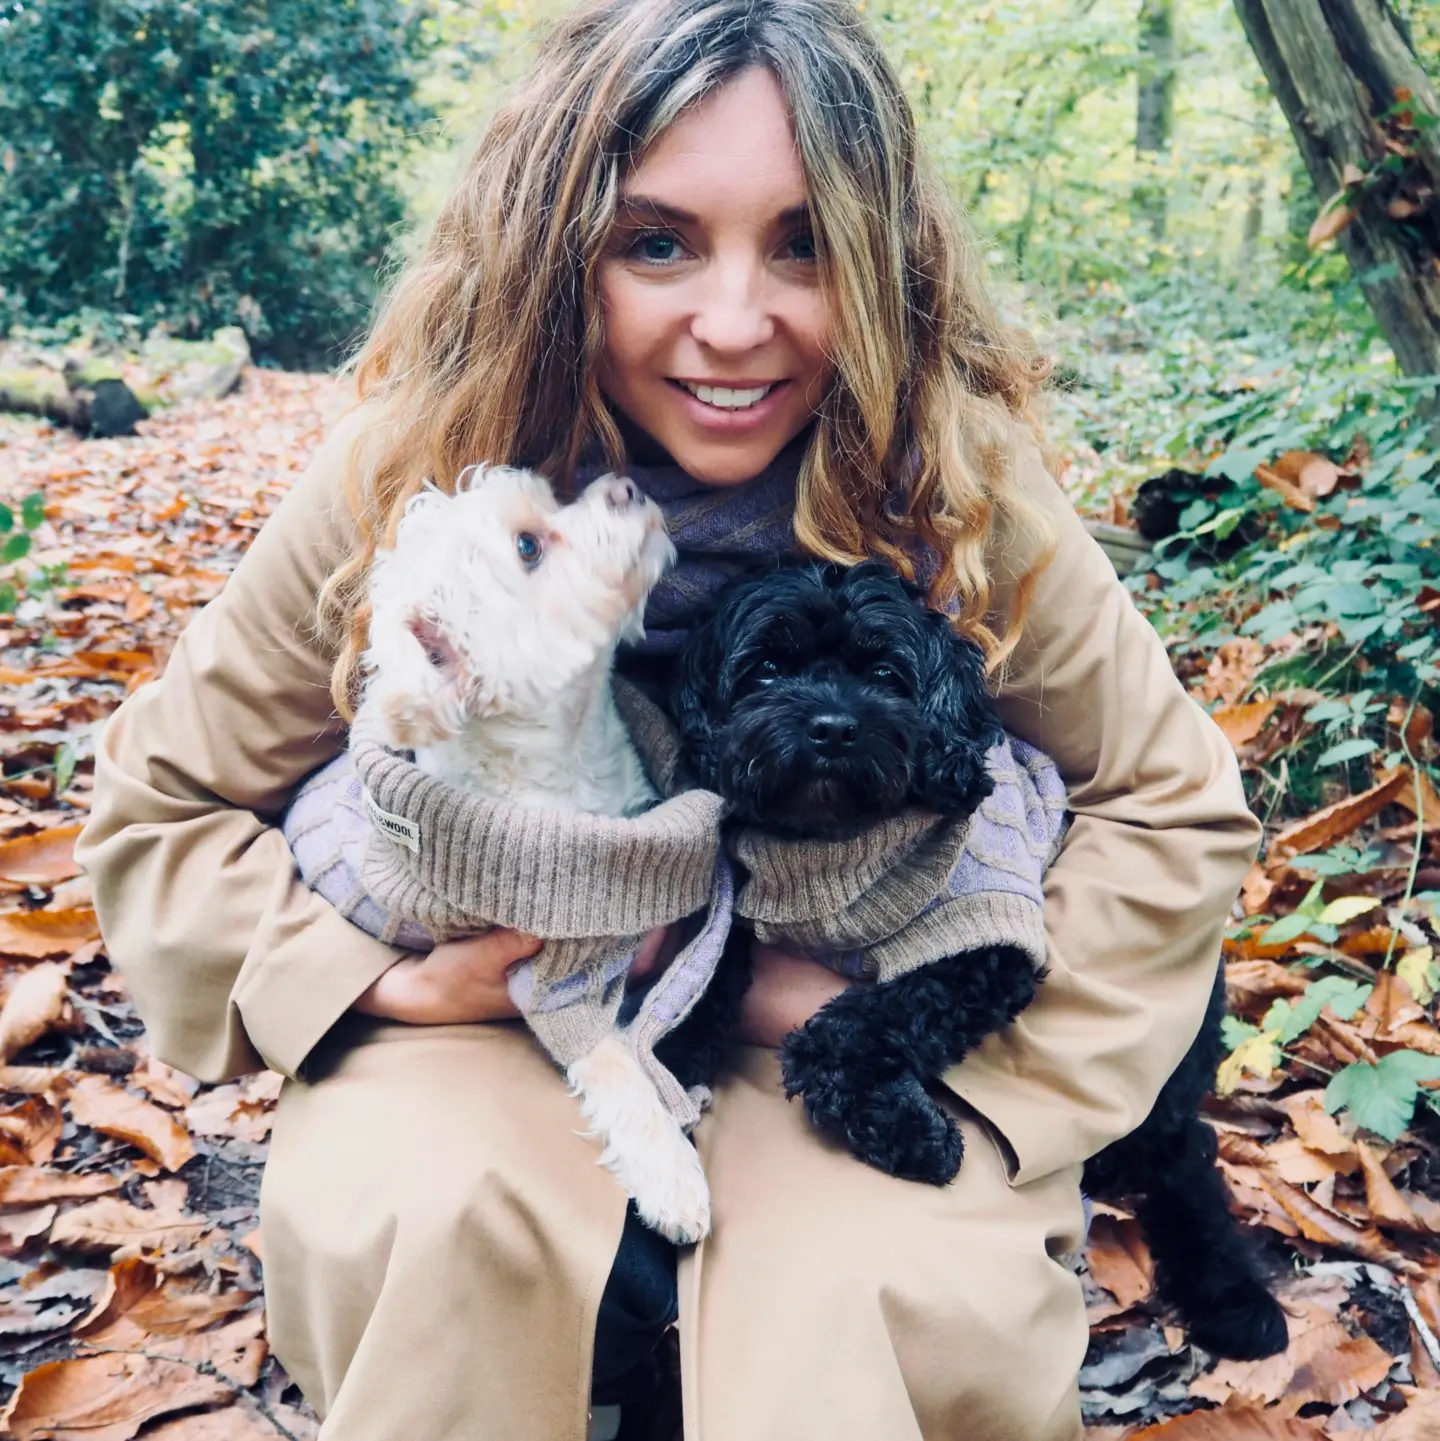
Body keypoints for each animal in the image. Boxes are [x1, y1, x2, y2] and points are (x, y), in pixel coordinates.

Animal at [351, 466, 712, 1245]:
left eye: (554, 496)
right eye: (528, 546)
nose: (624, 484)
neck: (571, 762)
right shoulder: (557, 978)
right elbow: (612, 1063)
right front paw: (670, 1173)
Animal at [660, 561, 1291, 1360]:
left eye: (885, 673)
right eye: (766, 668)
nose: (832, 726)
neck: (830, 844)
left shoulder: (985, 945)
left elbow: (856, 1025)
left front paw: (909, 1132)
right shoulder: (747, 917)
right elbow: (707, 970)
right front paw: (676, 1051)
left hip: (1166, 1075)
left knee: (1186, 1157)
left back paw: (1232, 1293)